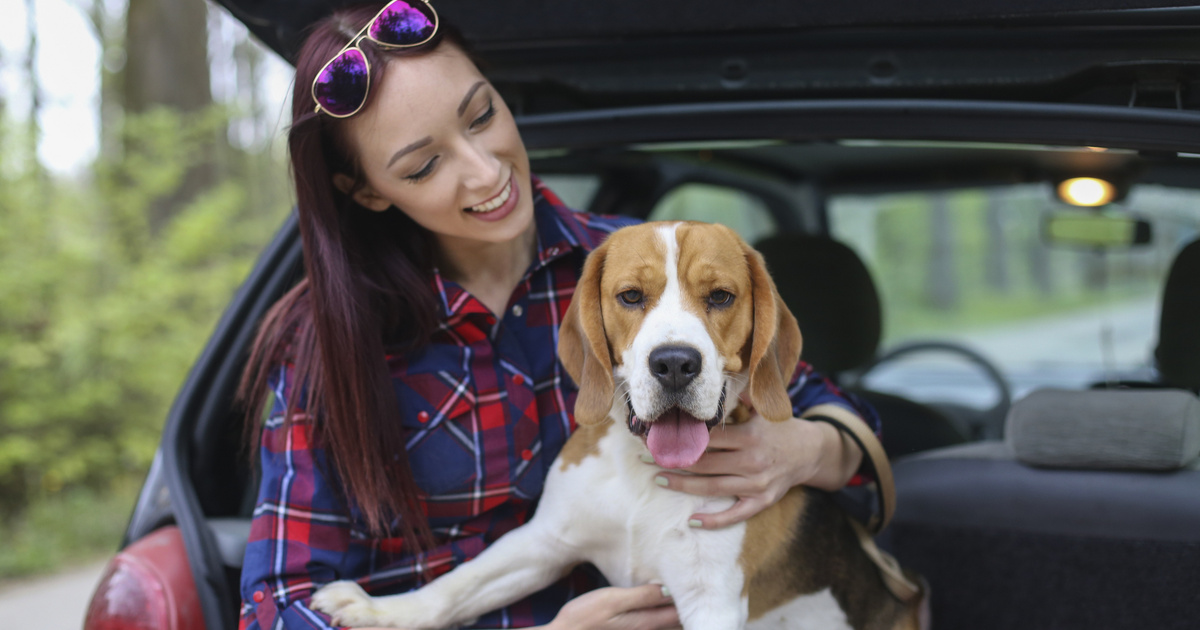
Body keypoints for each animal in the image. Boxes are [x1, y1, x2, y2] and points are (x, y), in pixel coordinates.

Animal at [314, 222, 921, 628]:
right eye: (630, 296)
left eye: (720, 296)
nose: (674, 363)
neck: (643, 473)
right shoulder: (543, 541)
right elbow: (458, 585)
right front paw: (374, 607)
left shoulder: (710, 600)